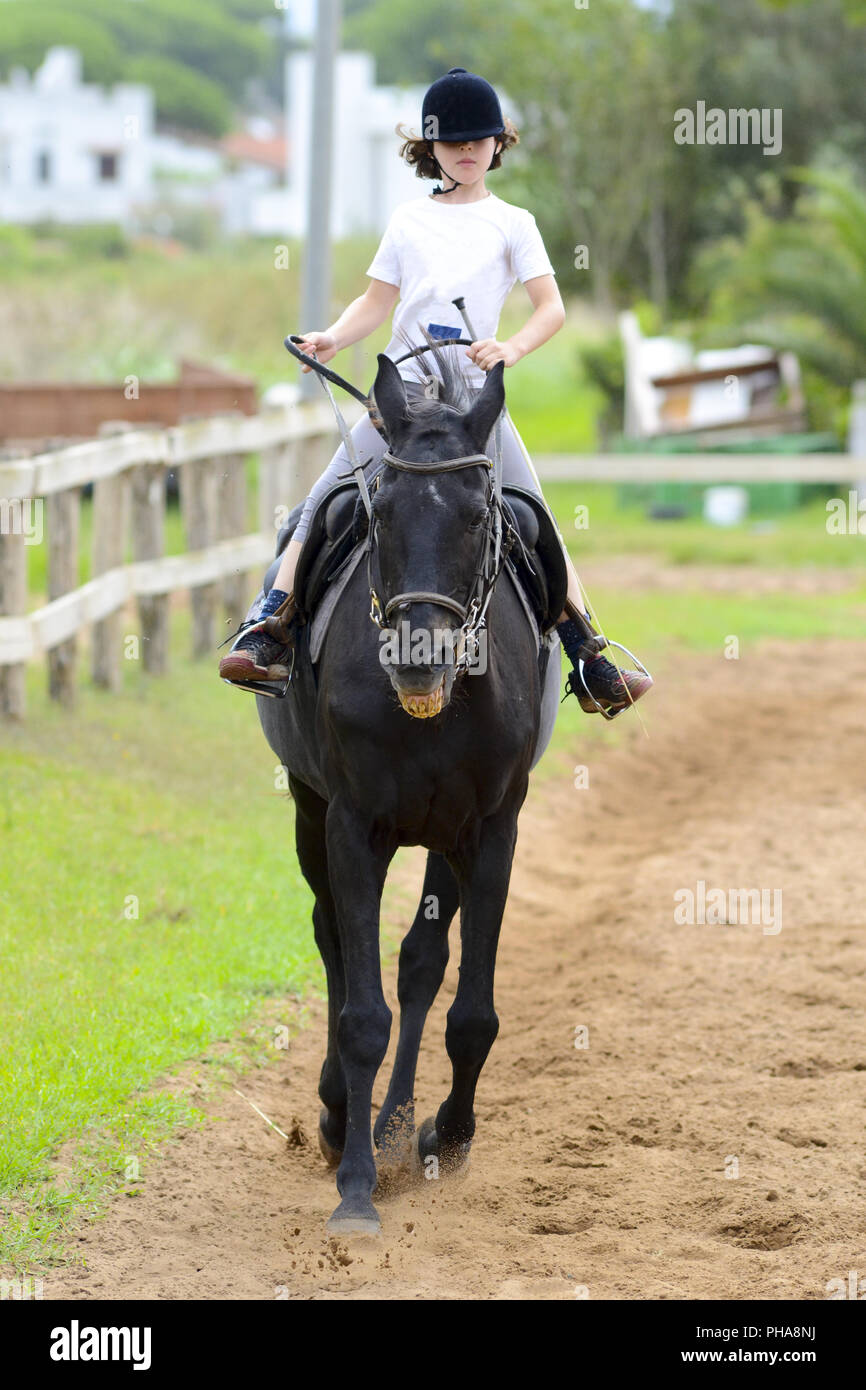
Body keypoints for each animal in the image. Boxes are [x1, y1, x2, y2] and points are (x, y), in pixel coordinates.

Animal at [257, 353, 558, 1234]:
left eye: (478, 515)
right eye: (379, 512)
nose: (421, 661)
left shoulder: (492, 830)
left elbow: (472, 1013)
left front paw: (445, 1137)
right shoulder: (352, 825)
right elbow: (361, 1016)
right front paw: (357, 1189)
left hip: (441, 840)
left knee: (422, 965)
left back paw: (393, 1122)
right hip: (309, 811)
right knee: (332, 941)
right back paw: (341, 1117)